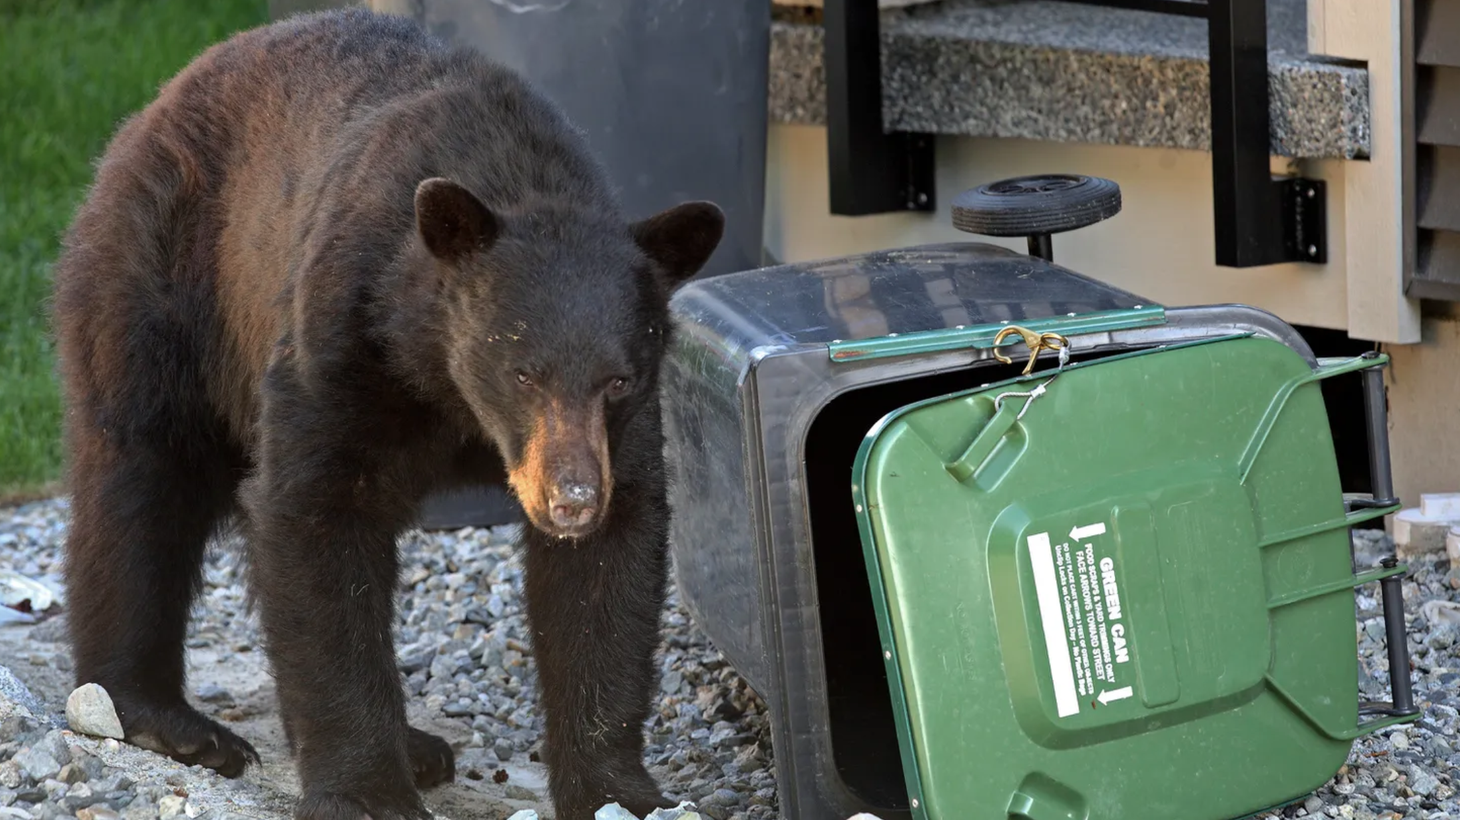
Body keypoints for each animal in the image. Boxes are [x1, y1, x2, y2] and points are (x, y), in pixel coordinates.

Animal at [51, 7, 724, 817]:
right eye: (524, 372)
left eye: (617, 380)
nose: (571, 500)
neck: (443, 385)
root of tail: (152, 105)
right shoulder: (345, 336)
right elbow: (315, 515)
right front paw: (368, 790)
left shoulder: (618, 431)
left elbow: (608, 569)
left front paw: (618, 788)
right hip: (163, 285)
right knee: (142, 478)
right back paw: (161, 718)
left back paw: (415, 744)